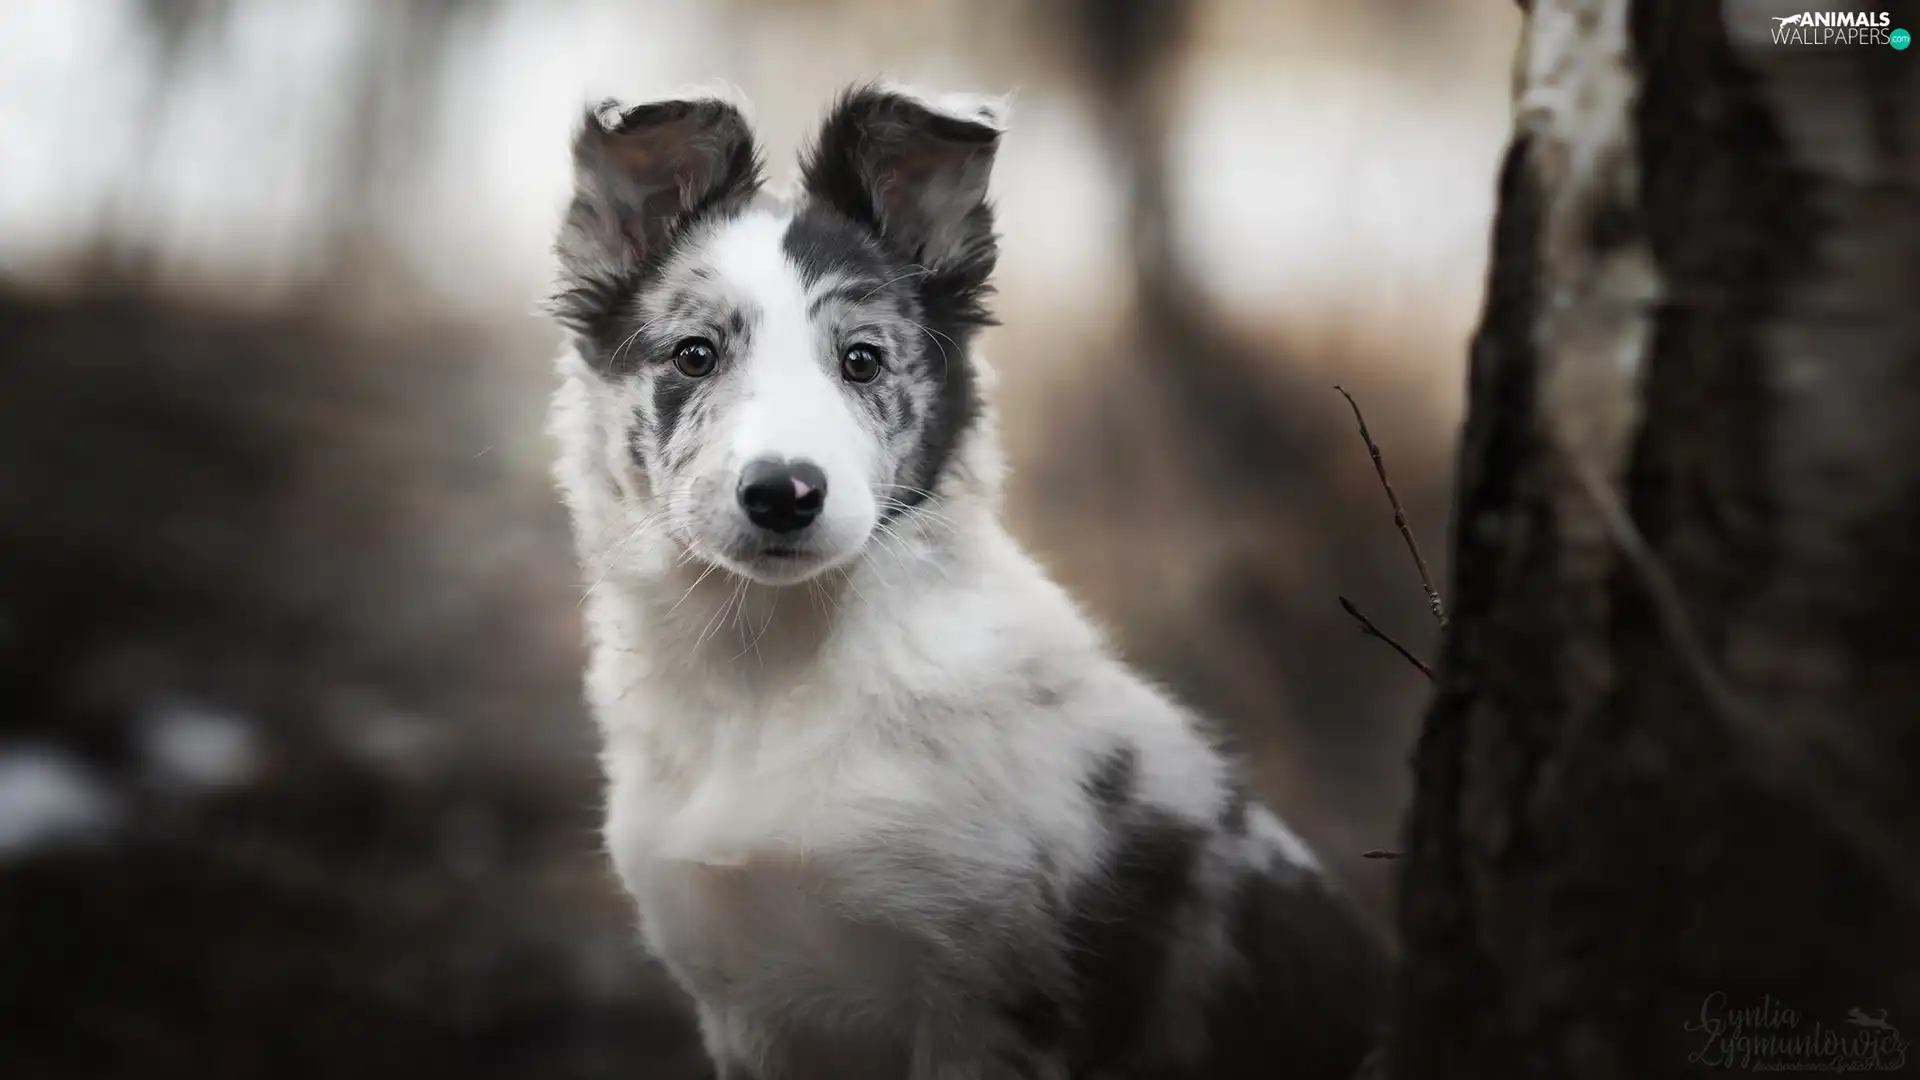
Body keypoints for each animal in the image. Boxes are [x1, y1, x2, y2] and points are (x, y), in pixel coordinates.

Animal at [549, 85, 1390, 1076]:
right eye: (693, 354)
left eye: (863, 360)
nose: (784, 495)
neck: (776, 663)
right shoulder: (744, 1009)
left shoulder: (994, 1005)